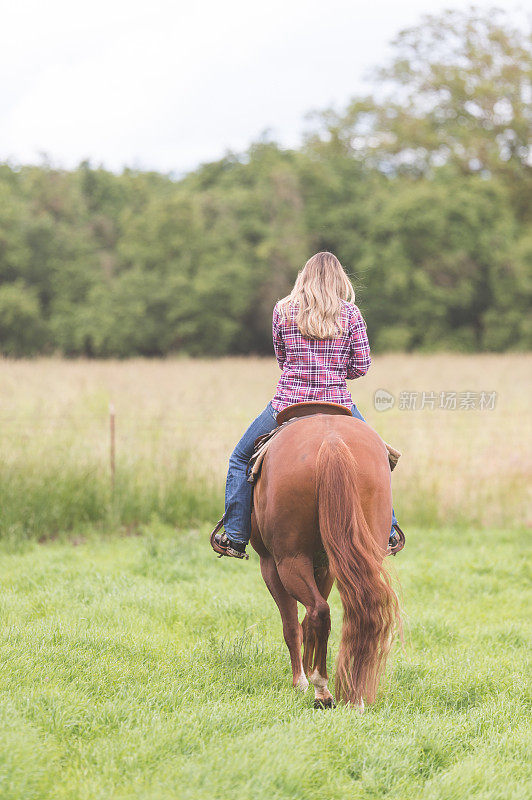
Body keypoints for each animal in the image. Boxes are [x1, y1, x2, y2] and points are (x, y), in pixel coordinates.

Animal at [251, 412, 402, 708]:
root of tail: (332, 442)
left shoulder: (269, 564)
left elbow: (291, 625)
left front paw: (300, 682)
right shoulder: (327, 566)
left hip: (289, 560)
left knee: (317, 612)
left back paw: (321, 689)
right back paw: (354, 696)